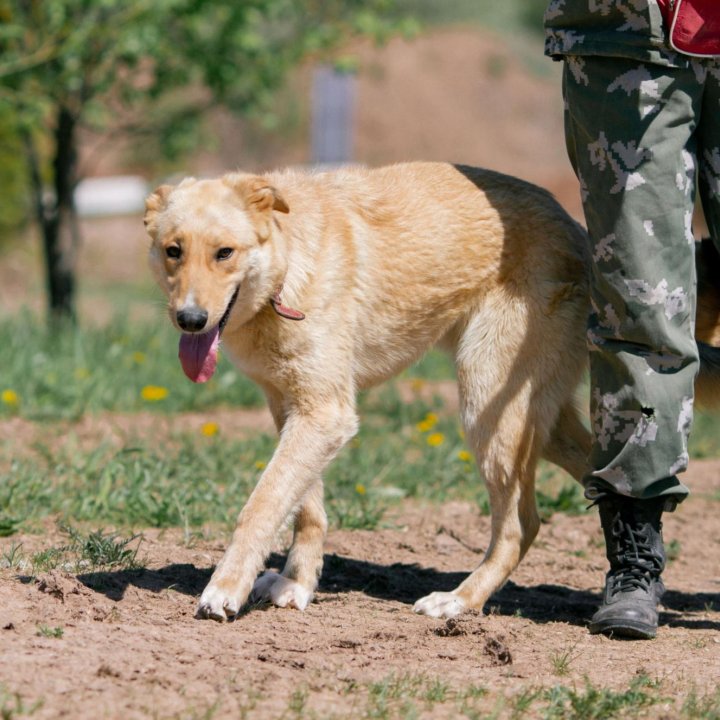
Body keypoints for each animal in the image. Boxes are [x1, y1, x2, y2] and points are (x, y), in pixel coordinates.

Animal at [145, 162, 720, 620]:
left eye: (225, 253)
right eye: (173, 252)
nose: (190, 320)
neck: (286, 272)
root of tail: (579, 233)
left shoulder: (325, 414)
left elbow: (261, 506)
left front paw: (225, 588)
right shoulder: (293, 409)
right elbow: (305, 508)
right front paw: (296, 584)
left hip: (486, 407)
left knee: (520, 524)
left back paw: (461, 601)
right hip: (538, 419)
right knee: (608, 480)